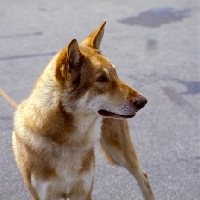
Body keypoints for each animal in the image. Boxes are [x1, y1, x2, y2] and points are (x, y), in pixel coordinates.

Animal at [11, 21, 154, 199]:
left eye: (115, 74)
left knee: (143, 177)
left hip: (120, 153)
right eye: (101, 79)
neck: (68, 140)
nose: (143, 101)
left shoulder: (83, 192)